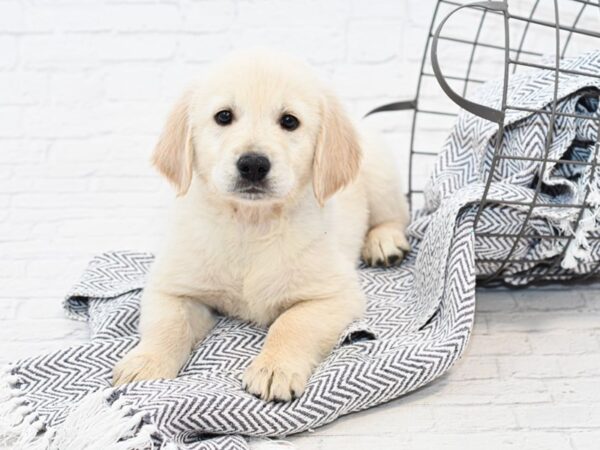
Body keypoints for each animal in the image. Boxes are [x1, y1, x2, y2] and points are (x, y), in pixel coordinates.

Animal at [112, 49, 410, 400]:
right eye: (223, 116)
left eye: (289, 121)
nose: (253, 164)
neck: (250, 224)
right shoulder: (172, 287)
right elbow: (168, 324)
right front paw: (146, 362)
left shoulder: (335, 294)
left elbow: (292, 323)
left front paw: (274, 368)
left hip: (381, 176)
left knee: (395, 215)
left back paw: (384, 243)